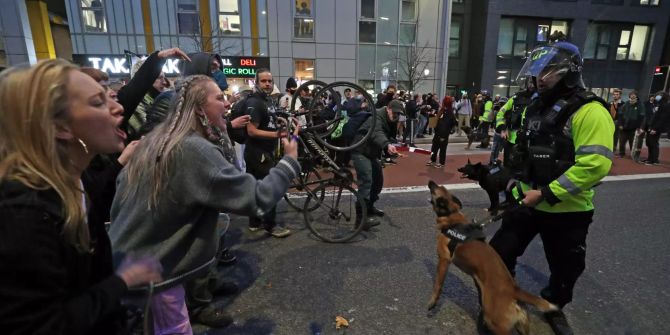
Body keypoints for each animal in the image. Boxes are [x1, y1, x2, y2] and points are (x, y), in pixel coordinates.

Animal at [428, 181, 560, 335]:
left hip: (495, 321)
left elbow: (438, 285)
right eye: (440, 187)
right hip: (521, 326)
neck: (451, 218)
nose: (431, 182)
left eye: (435, 189)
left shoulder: (444, 260)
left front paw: (433, 302)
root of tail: (514, 290)